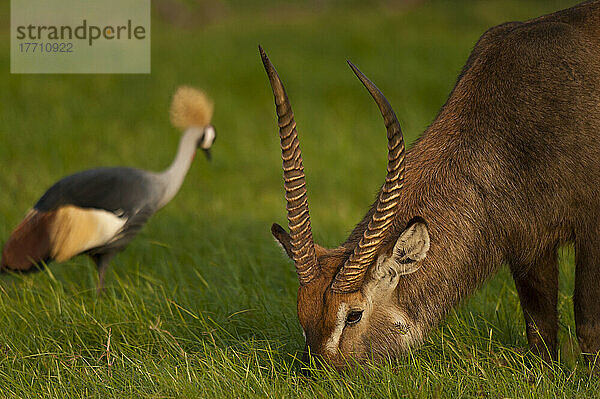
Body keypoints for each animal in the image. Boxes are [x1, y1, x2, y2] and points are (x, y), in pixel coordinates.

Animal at [0, 86, 216, 294]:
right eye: (212, 139)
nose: (209, 154)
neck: (160, 185)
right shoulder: (115, 240)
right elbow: (101, 278)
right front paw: (100, 299)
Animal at [262, 0, 600, 370]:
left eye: (353, 315)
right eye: (302, 313)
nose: (322, 373)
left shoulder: (590, 231)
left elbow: (588, 322)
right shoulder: (529, 243)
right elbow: (540, 328)